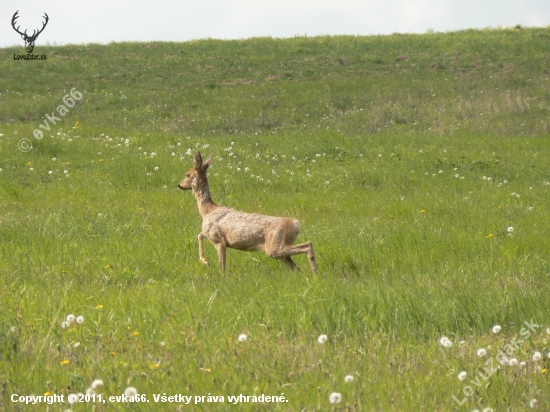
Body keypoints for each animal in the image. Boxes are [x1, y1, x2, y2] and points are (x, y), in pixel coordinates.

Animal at [179, 151, 320, 274]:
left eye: (187, 174)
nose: (179, 185)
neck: (207, 211)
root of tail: (295, 224)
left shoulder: (219, 240)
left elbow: (221, 267)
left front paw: (206, 262)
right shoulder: (212, 235)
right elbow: (200, 235)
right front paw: (205, 261)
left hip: (274, 246)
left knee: (307, 245)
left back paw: (315, 274)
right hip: (280, 251)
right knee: (297, 267)